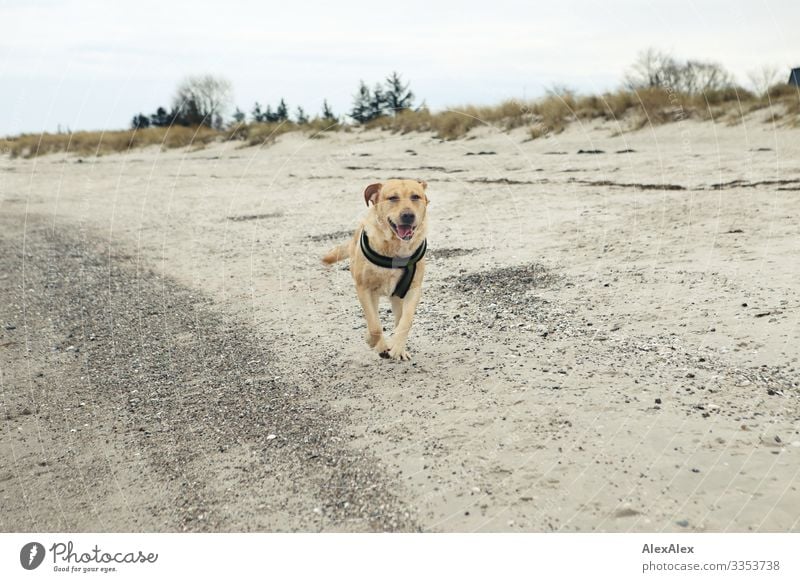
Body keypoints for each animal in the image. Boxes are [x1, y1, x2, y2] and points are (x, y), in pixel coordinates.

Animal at [322, 179, 428, 360]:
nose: (408, 215)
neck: (394, 250)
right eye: (392, 198)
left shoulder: (413, 289)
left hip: (397, 298)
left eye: (415, 197)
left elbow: (406, 321)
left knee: (399, 318)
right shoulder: (364, 289)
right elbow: (375, 325)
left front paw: (397, 346)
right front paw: (374, 342)